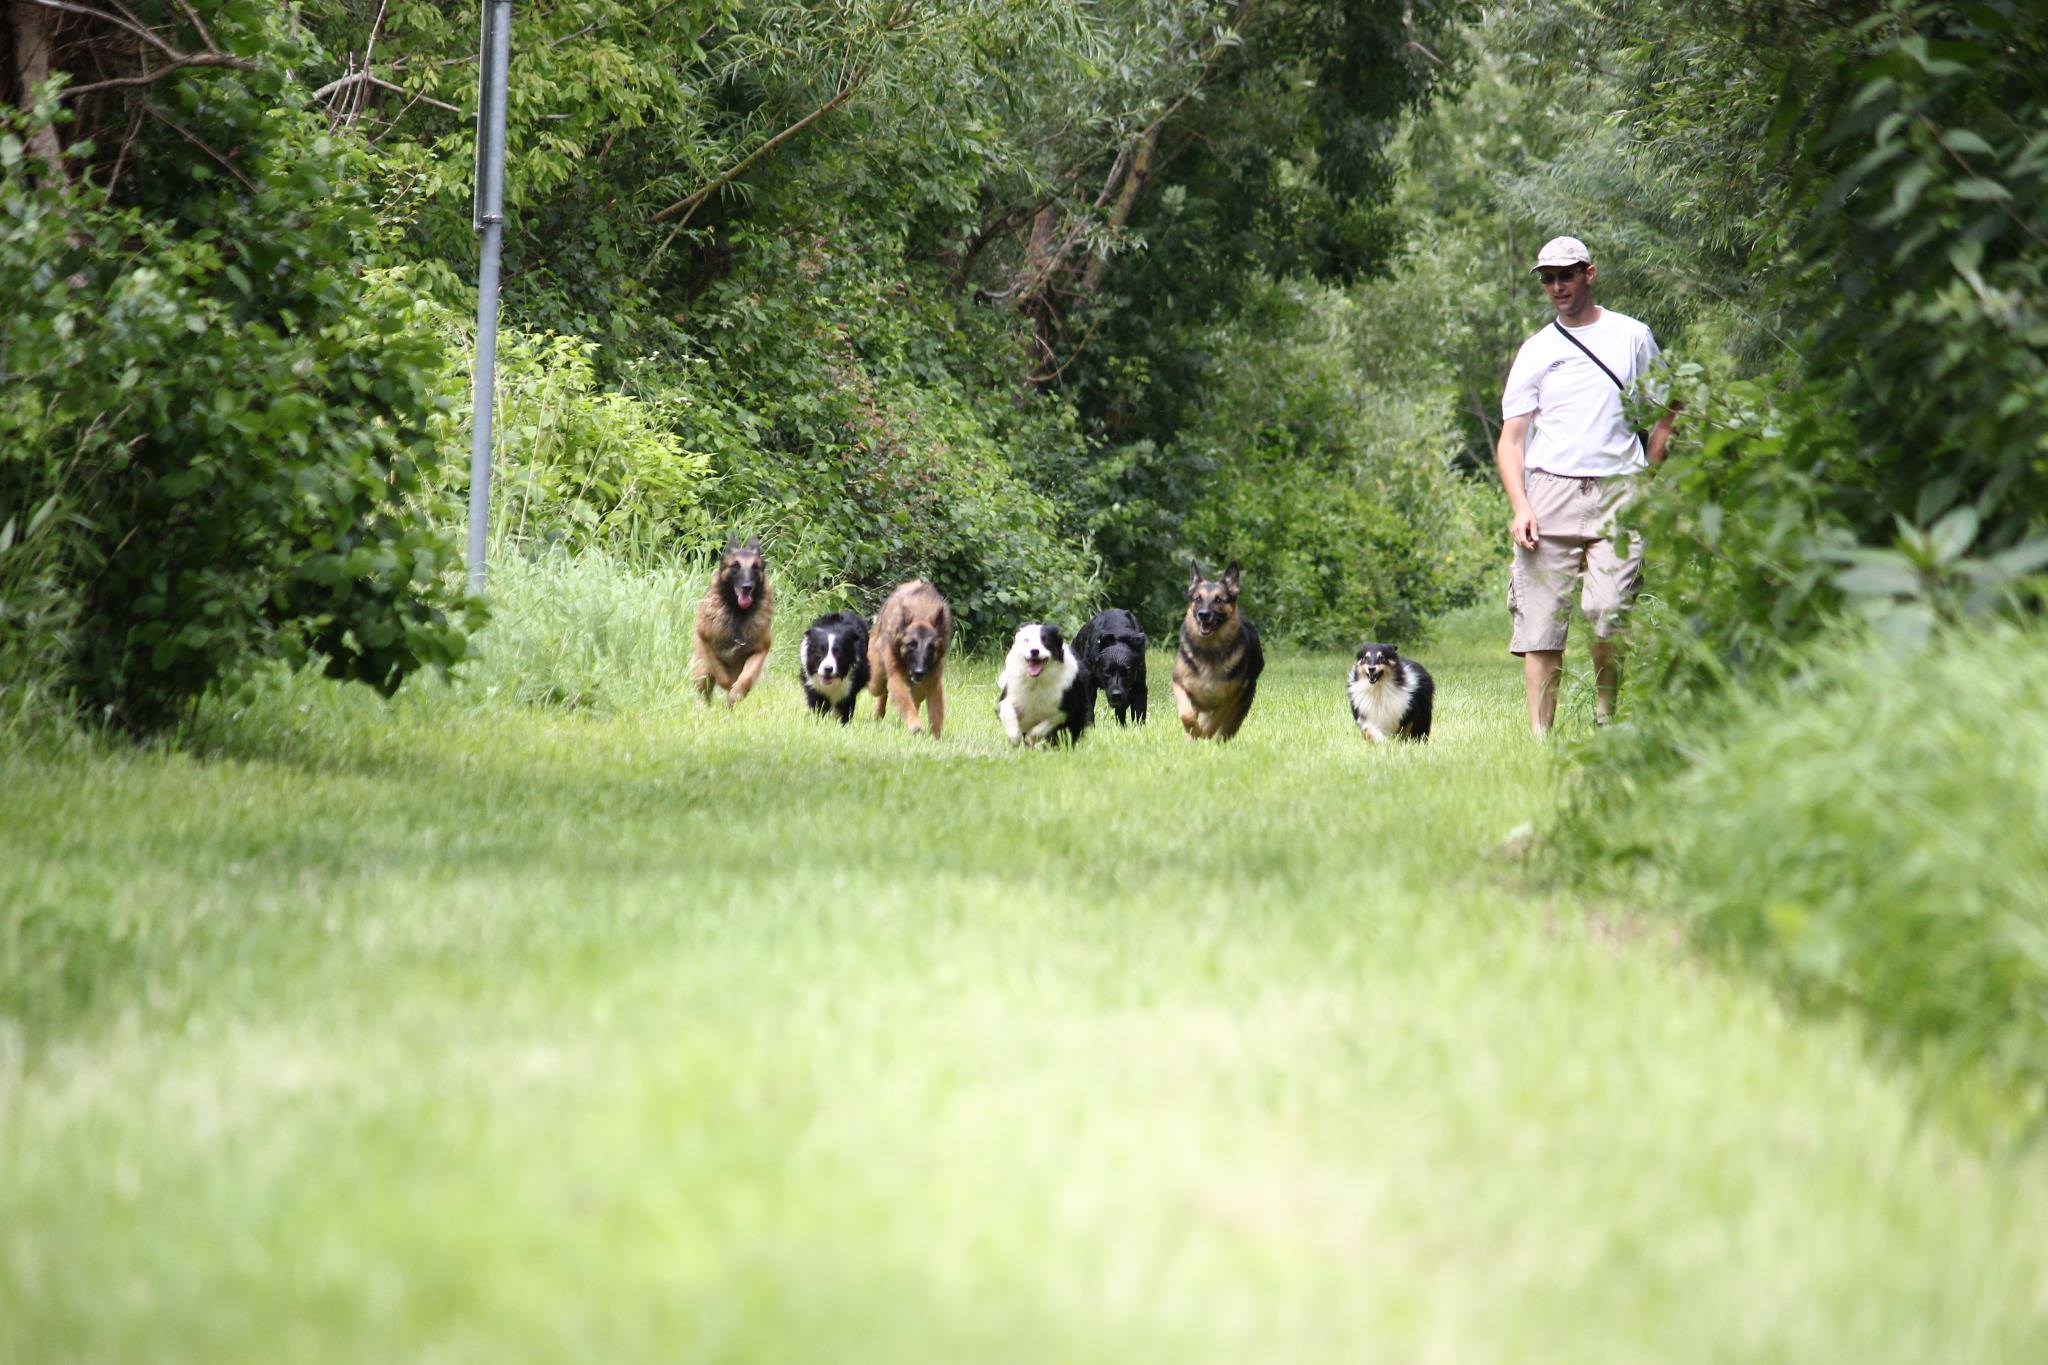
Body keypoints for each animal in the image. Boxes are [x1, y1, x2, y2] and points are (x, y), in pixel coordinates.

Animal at [696, 532, 774, 703]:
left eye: (755, 567)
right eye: (735, 566)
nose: (747, 587)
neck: (739, 614)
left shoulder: (760, 650)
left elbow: (746, 677)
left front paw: (736, 694)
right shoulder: (706, 643)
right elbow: (720, 672)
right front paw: (729, 687)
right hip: (701, 670)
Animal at [868, 581, 954, 740]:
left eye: (931, 647)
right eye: (911, 645)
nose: (919, 672)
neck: (921, 613)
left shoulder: (933, 683)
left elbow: (936, 713)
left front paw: (935, 738)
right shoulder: (895, 676)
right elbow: (906, 703)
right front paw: (915, 725)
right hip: (876, 678)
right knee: (881, 689)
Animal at [1179, 560, 1253, 740]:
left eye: (1218, 600)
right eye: (1198, 598)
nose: (1203, 614)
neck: (1210, 649)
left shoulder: (1229, 698)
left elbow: (1213, 724)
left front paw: (1203, 735)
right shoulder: (1181, 685)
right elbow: (1186, 715)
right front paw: (1193, 732)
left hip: (1237, 712)